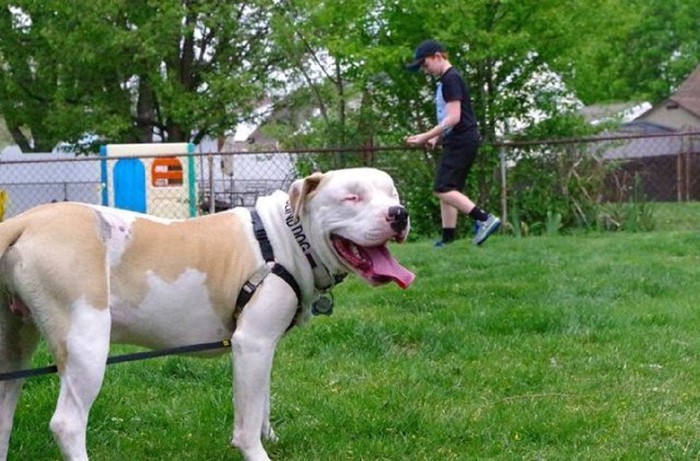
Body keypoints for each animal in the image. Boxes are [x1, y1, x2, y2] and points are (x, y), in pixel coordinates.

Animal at [0, 168, 416, 460]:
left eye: (393, 193)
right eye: (352, 197)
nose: (399, 213)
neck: (288, 240)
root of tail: (25, 221)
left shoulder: (262, 347)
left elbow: (261, 400)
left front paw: (270, 435)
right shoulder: (252, 343)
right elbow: (246, 421)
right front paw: (257, 452)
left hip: (15, 345)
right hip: (86, 342)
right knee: (68, 424)